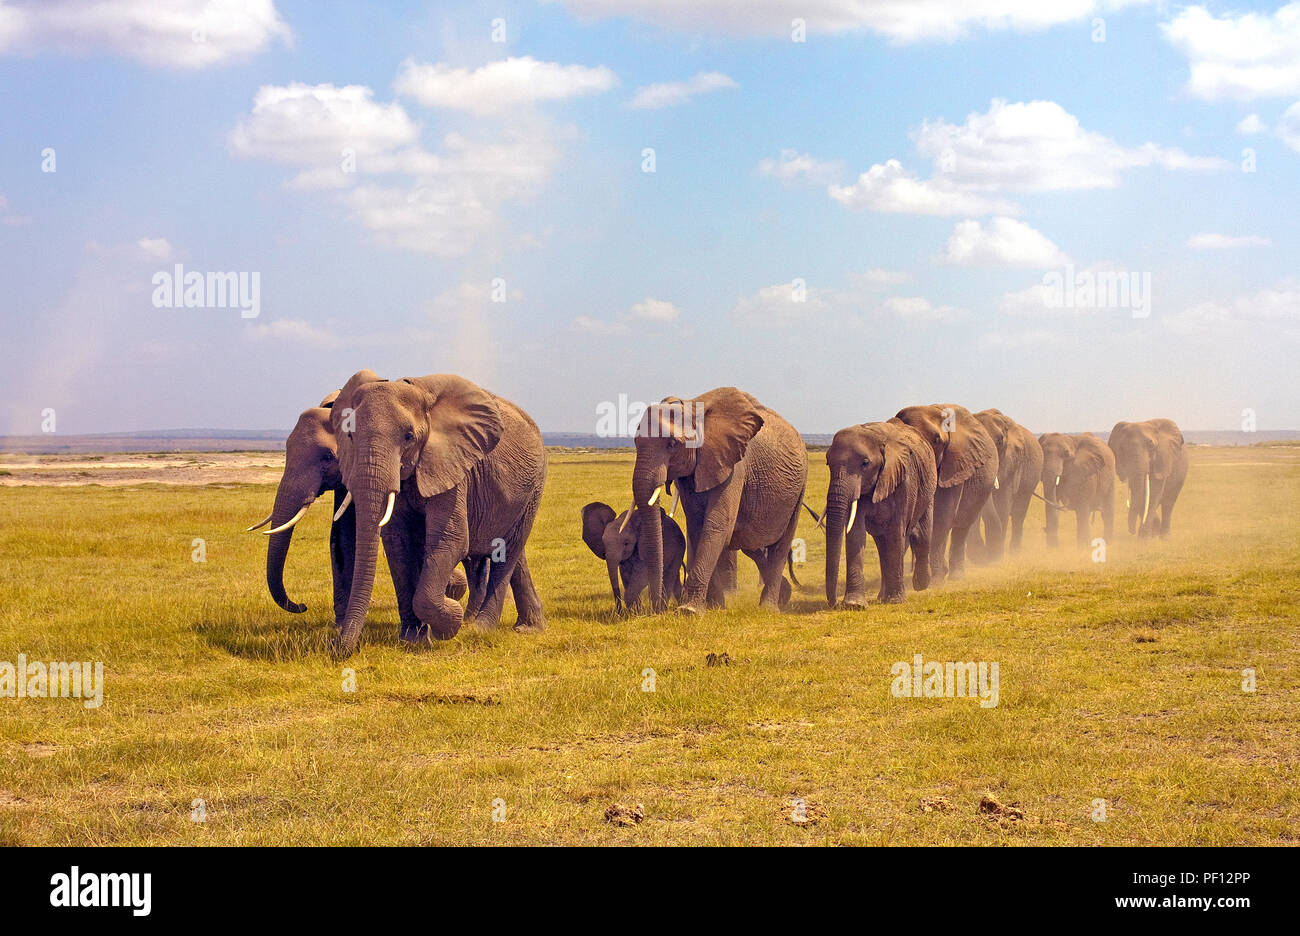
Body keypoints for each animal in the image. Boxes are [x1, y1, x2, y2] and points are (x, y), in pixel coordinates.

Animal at [330, 369, 548, 655]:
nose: (336, 646)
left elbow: (450, 541)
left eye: (408, 436)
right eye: (351, 437)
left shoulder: (452, 465)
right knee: (514, 552)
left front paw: (450, 621)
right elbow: (398, 544)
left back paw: (481, 628)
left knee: (508, 552)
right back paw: (529, 628)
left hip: (535, 486)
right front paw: (413, 639)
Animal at [626, 384, 800, 613]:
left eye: (672, 444)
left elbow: (716, 524)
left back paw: (768, 608)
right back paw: (782, 595)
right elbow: (698, 526)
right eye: (636, 442)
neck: (691, 407)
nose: (658, 609)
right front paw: (715, 607)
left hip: (799, 490)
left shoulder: (734, 465)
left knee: (780, 546)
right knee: (751, 544)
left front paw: (689, 611)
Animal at [821, 418, 935, 605]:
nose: (834, 603)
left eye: (865, 463)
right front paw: (854, 604)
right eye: (828, 463)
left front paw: (896, 601)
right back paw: (883, 596)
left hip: (928, 489)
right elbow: (855, 534)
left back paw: (920, 584)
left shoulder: (903, 481)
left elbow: (896, 533)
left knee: (921, 535)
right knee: (883, 546)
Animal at [894, 403, 993, 582]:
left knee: (962, 526)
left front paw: (936, 579)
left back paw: (956, 575)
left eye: (937, 440)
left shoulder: (955, 466)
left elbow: (942, 515)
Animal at [977, 408, 1045, 556]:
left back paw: (1015, 552)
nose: (984, 550)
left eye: (999, 441)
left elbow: (1002, 505)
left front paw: (996, 557)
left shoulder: (1013, 462)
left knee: (1018, 514)